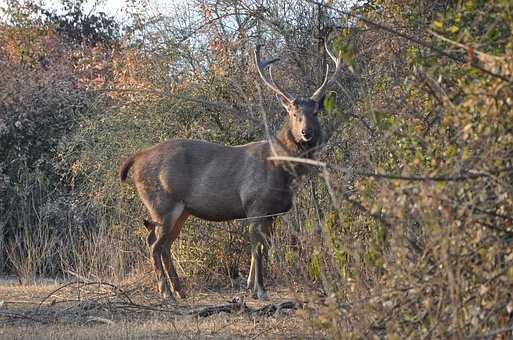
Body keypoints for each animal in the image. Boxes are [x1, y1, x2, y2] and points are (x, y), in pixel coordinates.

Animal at [119, 40, 342, 300]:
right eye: (294, 113)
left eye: (315, 112)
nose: (307, 133)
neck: (281, 170)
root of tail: (137, 158)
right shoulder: (255, 203)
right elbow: (257, 248)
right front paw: (260, 290)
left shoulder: (272, 212)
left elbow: (262, 248)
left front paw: (250, 286)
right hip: (162, 202)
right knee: (153, 243)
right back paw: (167, 292)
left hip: (182, 210)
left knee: (163, 243)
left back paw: (180, 290)